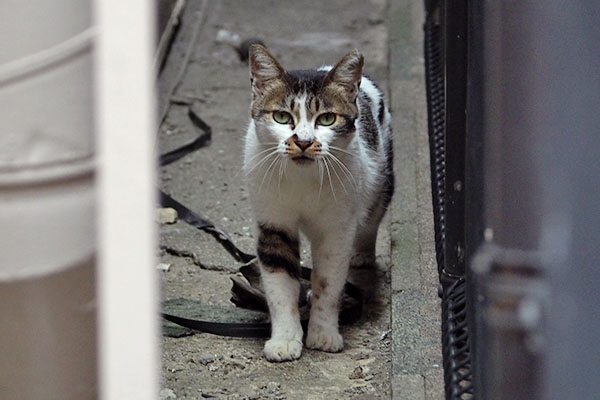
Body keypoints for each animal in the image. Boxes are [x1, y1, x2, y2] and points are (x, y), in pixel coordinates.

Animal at [244, 45, 394, 360]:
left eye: (326, 119)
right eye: (281, 116)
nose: (303, 141)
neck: (302, 181)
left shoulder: (336, 230)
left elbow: (329, 281)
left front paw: (323, 334)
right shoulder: (273, 223)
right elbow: (279, 284)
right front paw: (285, 340)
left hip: (381, 181)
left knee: (371, 220)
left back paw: (362, 254)